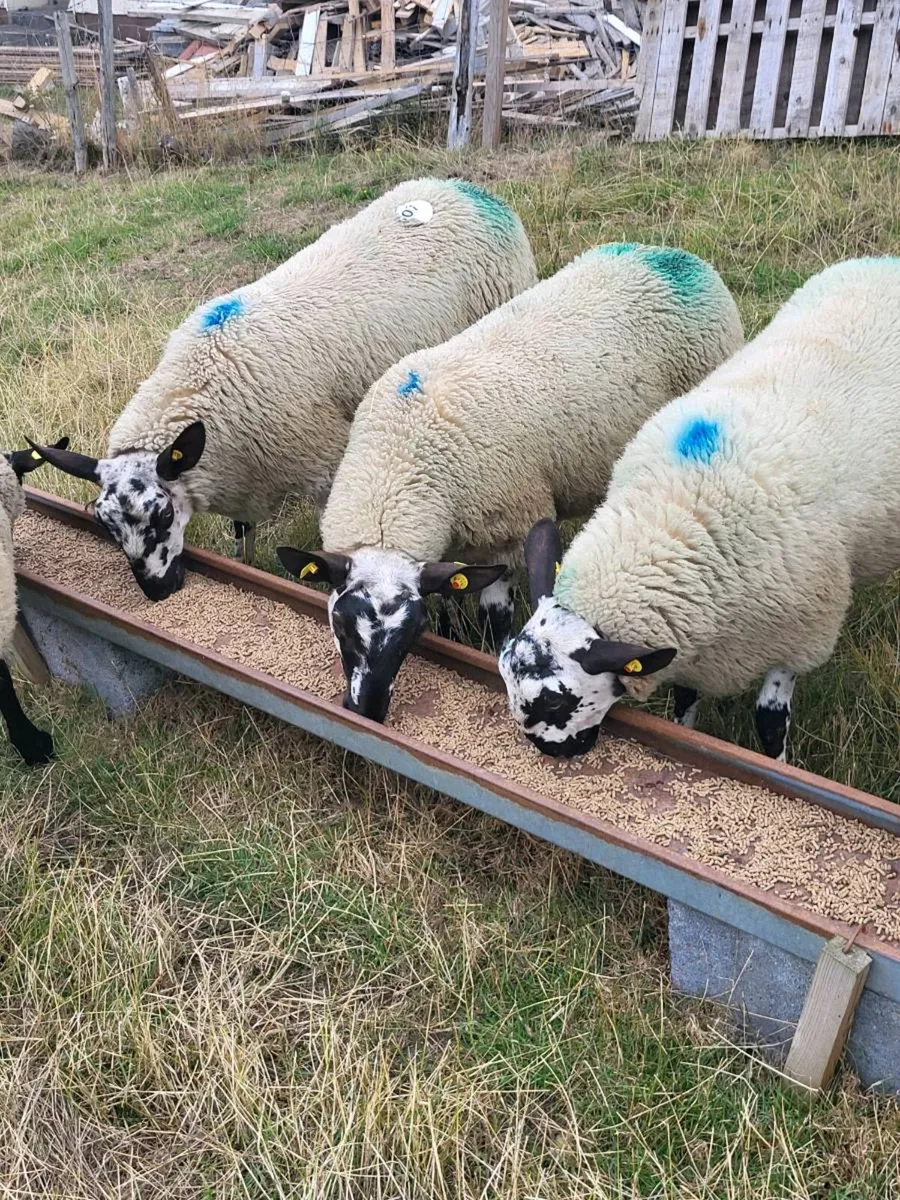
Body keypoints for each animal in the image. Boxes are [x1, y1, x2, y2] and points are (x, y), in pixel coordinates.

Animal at [30, 178, 537, 601]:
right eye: (105, 525)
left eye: (163, 516)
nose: (157, 593)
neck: (205, 379)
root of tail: (466, 187)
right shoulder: (240, 468)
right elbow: (242, 536)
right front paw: (245, 564)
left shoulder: (325, 464)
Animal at [277, 243, 744, 724]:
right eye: (339, 624)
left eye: (412, 632)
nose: (365, 711)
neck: (402, 456)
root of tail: (671, 255)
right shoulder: (454, 545)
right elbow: (449, 598)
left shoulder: (507, 532)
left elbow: (495, 623)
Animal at [499, 255, 900, 762]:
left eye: (554, 700)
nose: (555, 754)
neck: (679, 515)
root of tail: (887, 262)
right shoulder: (697, 649)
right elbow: (685, 702)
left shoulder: (801, 637)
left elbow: (770, 722)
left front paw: (779, 762)